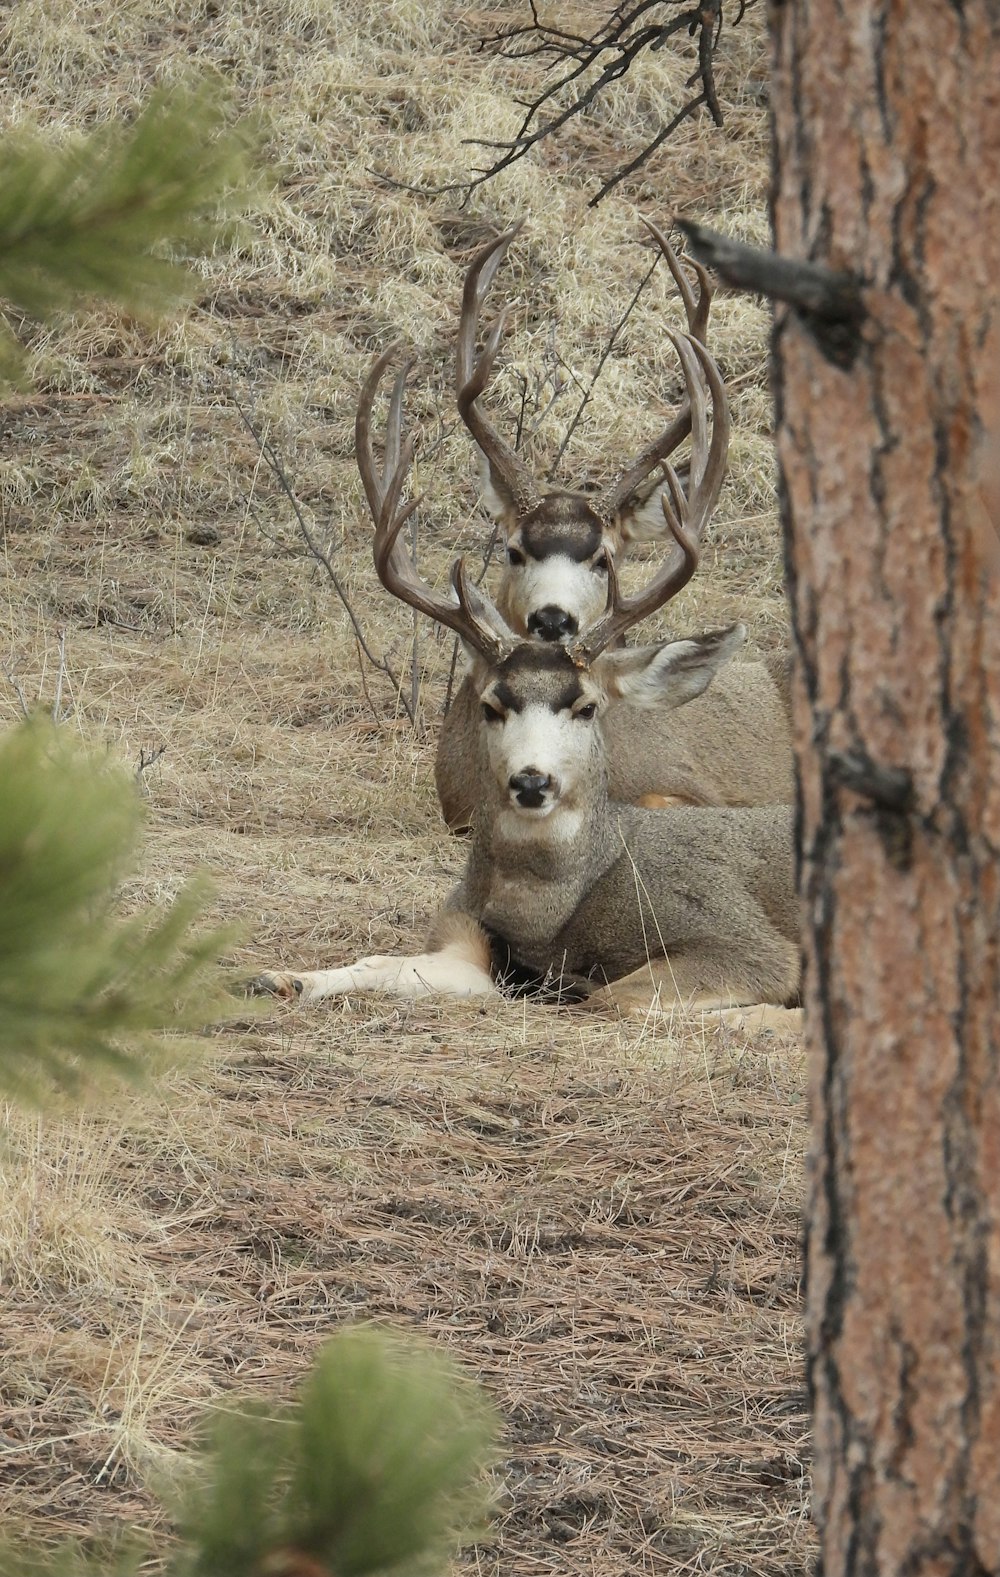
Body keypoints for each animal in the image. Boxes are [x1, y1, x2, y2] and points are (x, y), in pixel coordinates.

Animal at [250, 334, 801, 1028]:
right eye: (492, 705)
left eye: (587, 707)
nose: (532, 782)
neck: (548, 910)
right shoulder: (467, 941)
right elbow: (384, 963)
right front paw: (283, 977)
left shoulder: (740, 934)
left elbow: (621, 999)